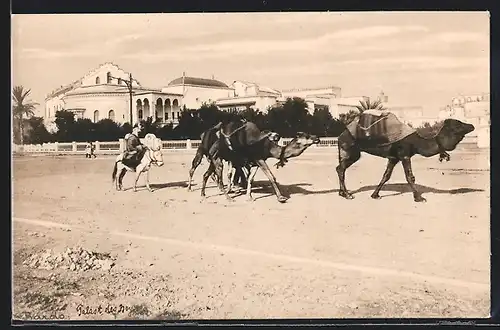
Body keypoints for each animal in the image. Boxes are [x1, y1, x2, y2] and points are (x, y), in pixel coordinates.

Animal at [338, 114, 474, 202]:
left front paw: (375, 195)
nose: (472, 125)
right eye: (458, 125)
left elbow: (386, 176)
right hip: (351, 150)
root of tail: (341, 135)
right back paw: (348, 195)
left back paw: (342, 193)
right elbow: (410, 177)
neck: (417, 143)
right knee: (341, 168)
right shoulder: (404, 155)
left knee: (340, 168)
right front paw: (419, 198)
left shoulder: (394, 158)